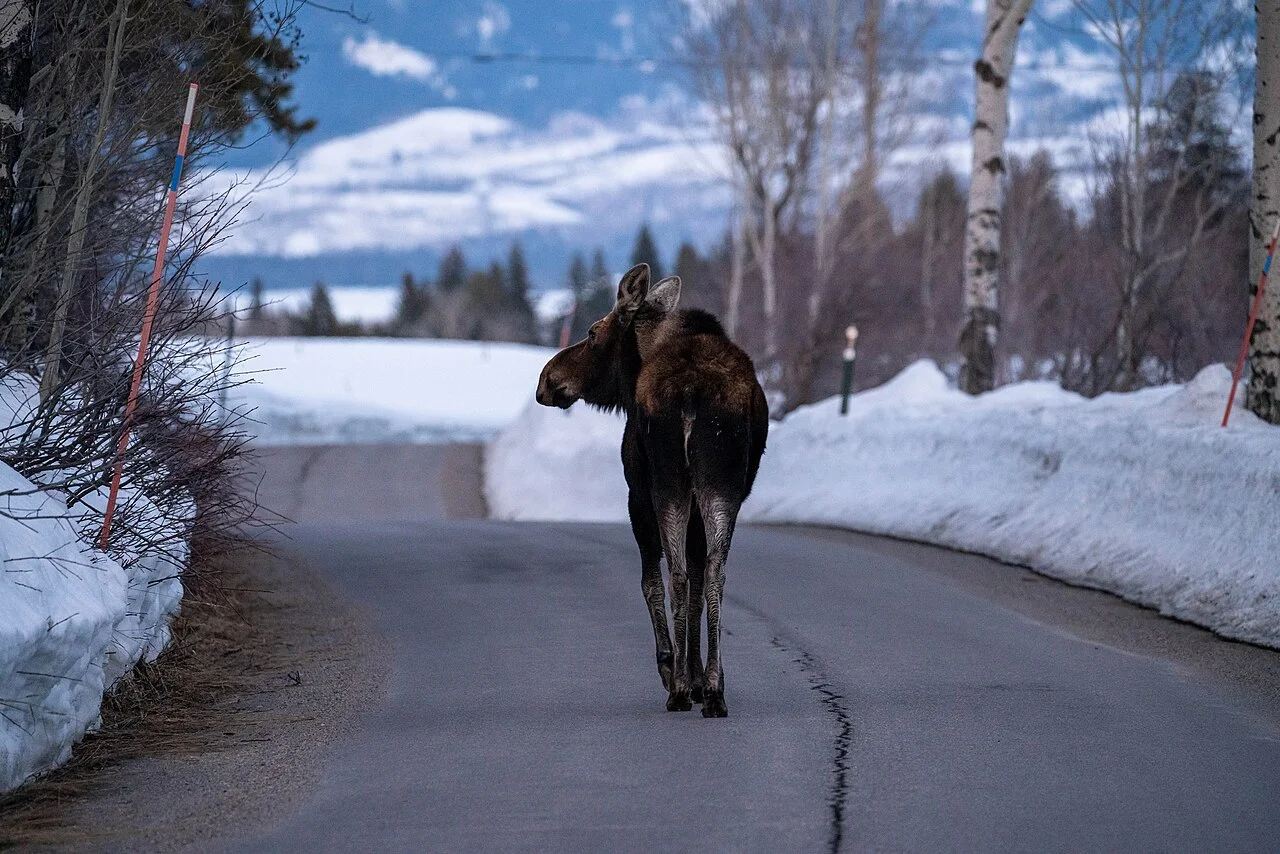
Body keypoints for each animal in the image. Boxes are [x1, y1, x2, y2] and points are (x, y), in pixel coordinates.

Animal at [535, 263, 768, 717]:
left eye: (592, 332)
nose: (546, 380)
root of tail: (693, 392)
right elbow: (698, 583)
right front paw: (698, 679)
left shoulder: (636, 495)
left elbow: (650, 582)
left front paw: (674, 670)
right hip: (720, 486)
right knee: (714, 572)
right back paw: (714, 690)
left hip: (667, 484)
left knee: (674, 575)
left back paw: (676, 687)